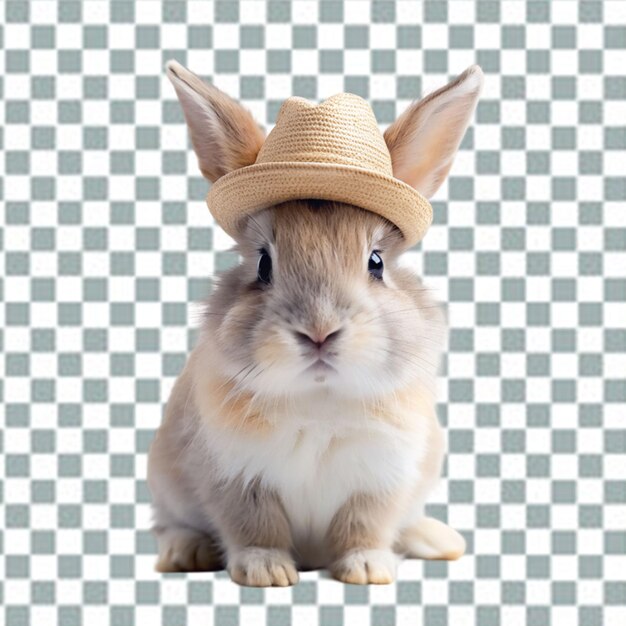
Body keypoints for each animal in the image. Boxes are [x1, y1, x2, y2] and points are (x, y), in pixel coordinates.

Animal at [147, 61, 482, 584]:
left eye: (376, 262)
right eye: (263, 264)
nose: (319, 332)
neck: (319, 399)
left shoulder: (381, 478)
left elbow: (364, 525)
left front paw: (367, 570)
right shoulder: (234, 476)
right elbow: (254, 526)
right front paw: (268, 573)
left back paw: (438, 540)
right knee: (171, 525)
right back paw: (186, 553)